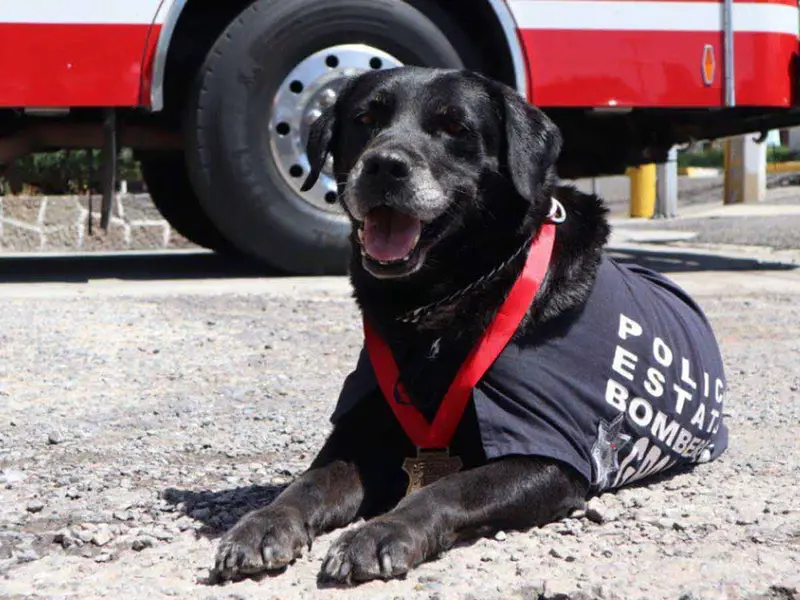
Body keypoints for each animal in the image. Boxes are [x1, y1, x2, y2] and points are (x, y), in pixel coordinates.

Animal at [211, 67, 724, 584]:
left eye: (455, 128)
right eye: (365, 119)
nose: (384, 166)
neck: (445, 302)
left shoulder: (546, 456)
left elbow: (447, 488)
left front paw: (381, 531)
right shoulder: (362, 432)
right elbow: (309, 482)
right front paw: (264, 523)